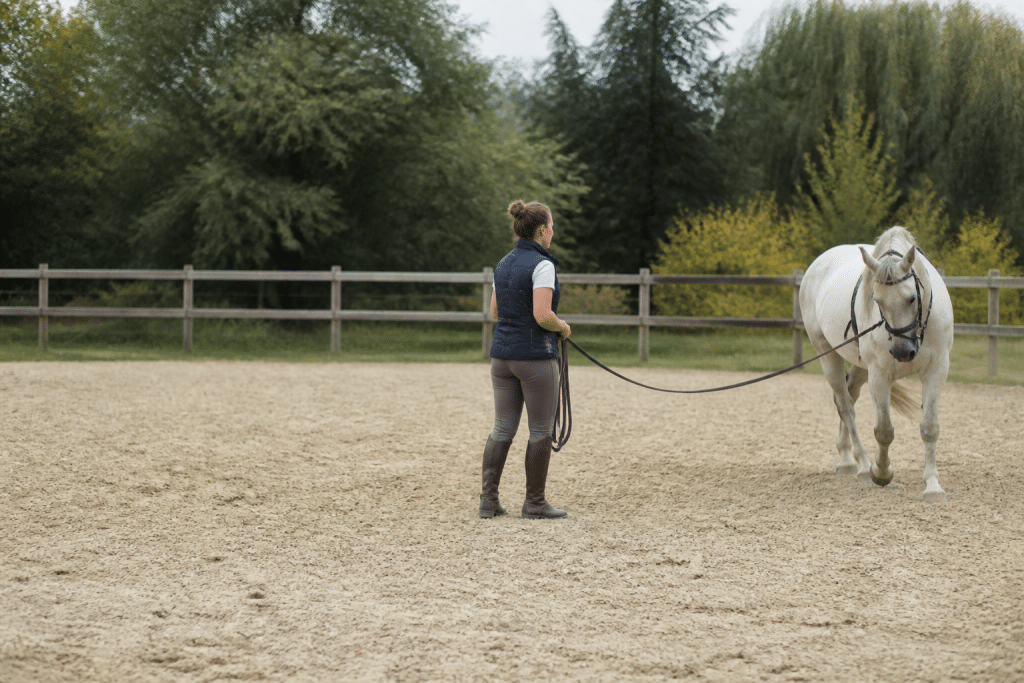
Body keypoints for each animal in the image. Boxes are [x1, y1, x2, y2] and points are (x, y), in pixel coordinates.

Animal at [799, 226, 955, 503]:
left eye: (912, 298)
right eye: (877, 300)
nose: (902, 352)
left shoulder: (937, 369)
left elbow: (929, 427)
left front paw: (933, 486)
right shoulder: (879, 374)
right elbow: (884, 430)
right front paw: (881, 472)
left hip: (860, 366)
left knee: (848, 396)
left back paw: (846, 458)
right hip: (828, 355)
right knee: (845, 405)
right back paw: (859, 464)